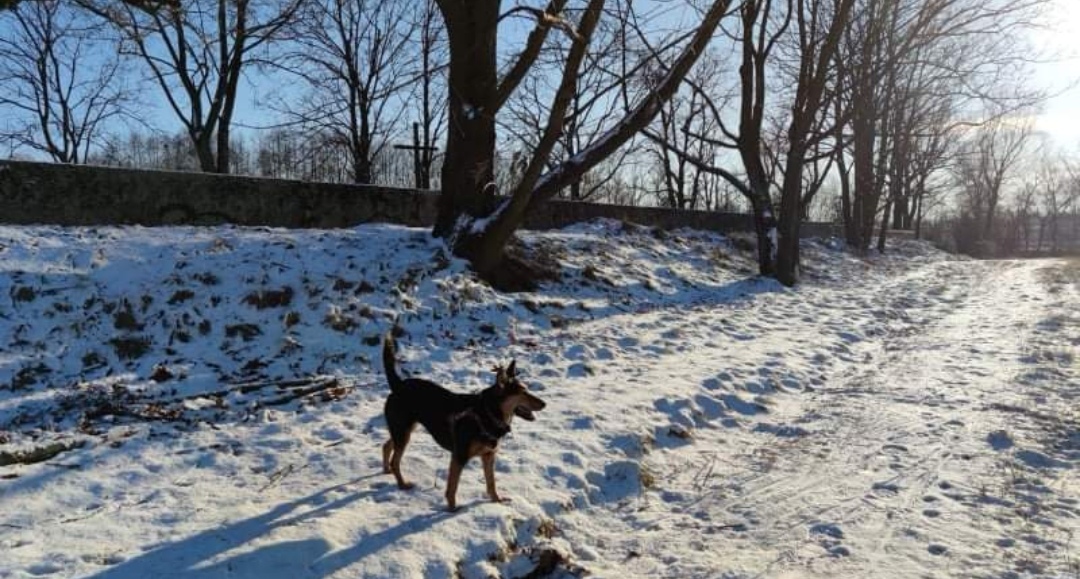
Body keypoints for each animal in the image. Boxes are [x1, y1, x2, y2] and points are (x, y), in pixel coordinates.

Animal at [381, 333, 547, 511]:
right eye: (523, 392)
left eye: (527, 389)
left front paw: (496, 500)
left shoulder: (489, 455)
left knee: (387, 445)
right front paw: (452, 510)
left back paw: (386, 469)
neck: (487, 414)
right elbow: (452, 487)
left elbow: (491, 483)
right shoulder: (459, 457)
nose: (544, 404)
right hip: (403, 430)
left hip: (404, 429)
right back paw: (402, 484)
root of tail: (398, 384)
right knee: (395, 460)